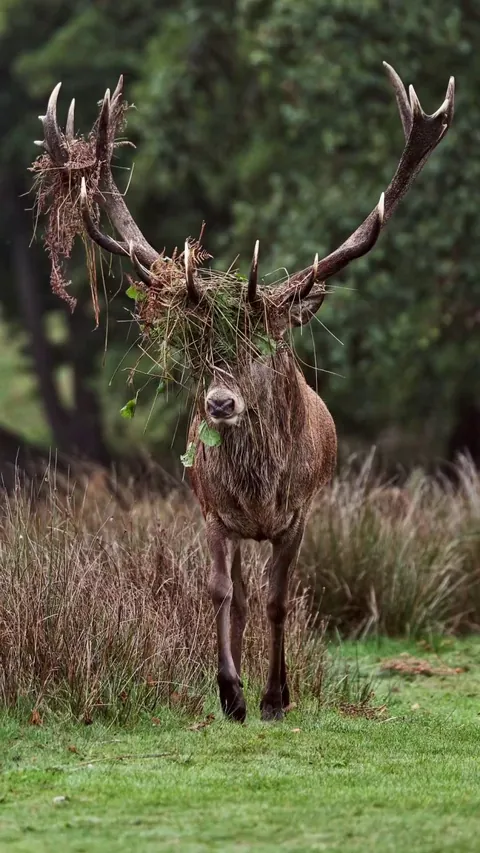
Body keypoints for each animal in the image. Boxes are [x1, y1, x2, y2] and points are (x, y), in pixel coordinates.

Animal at [36, 62, 454, 721]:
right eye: (205, 349)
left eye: (267, 345)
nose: (220, 404)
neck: (260, 493)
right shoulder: (212, 511)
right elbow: (218, 593)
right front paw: (230, 691)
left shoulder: (299, 514)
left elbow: (281, 600)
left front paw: (276, 696)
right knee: (235, 592)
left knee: (261, 595)